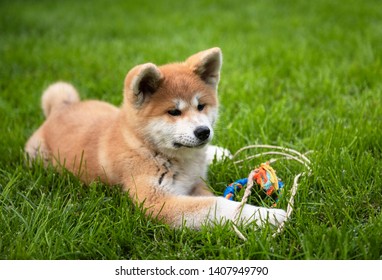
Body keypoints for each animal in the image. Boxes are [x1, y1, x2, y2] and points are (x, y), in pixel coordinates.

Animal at [24, 47, 286, 228]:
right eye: (173, 112)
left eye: (201, 106)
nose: (203, 132)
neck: (147, 147)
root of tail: (60, 108)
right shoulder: (156, 201)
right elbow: (218, 205)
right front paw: (267, 216)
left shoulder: (194, 182)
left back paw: (218, 152)